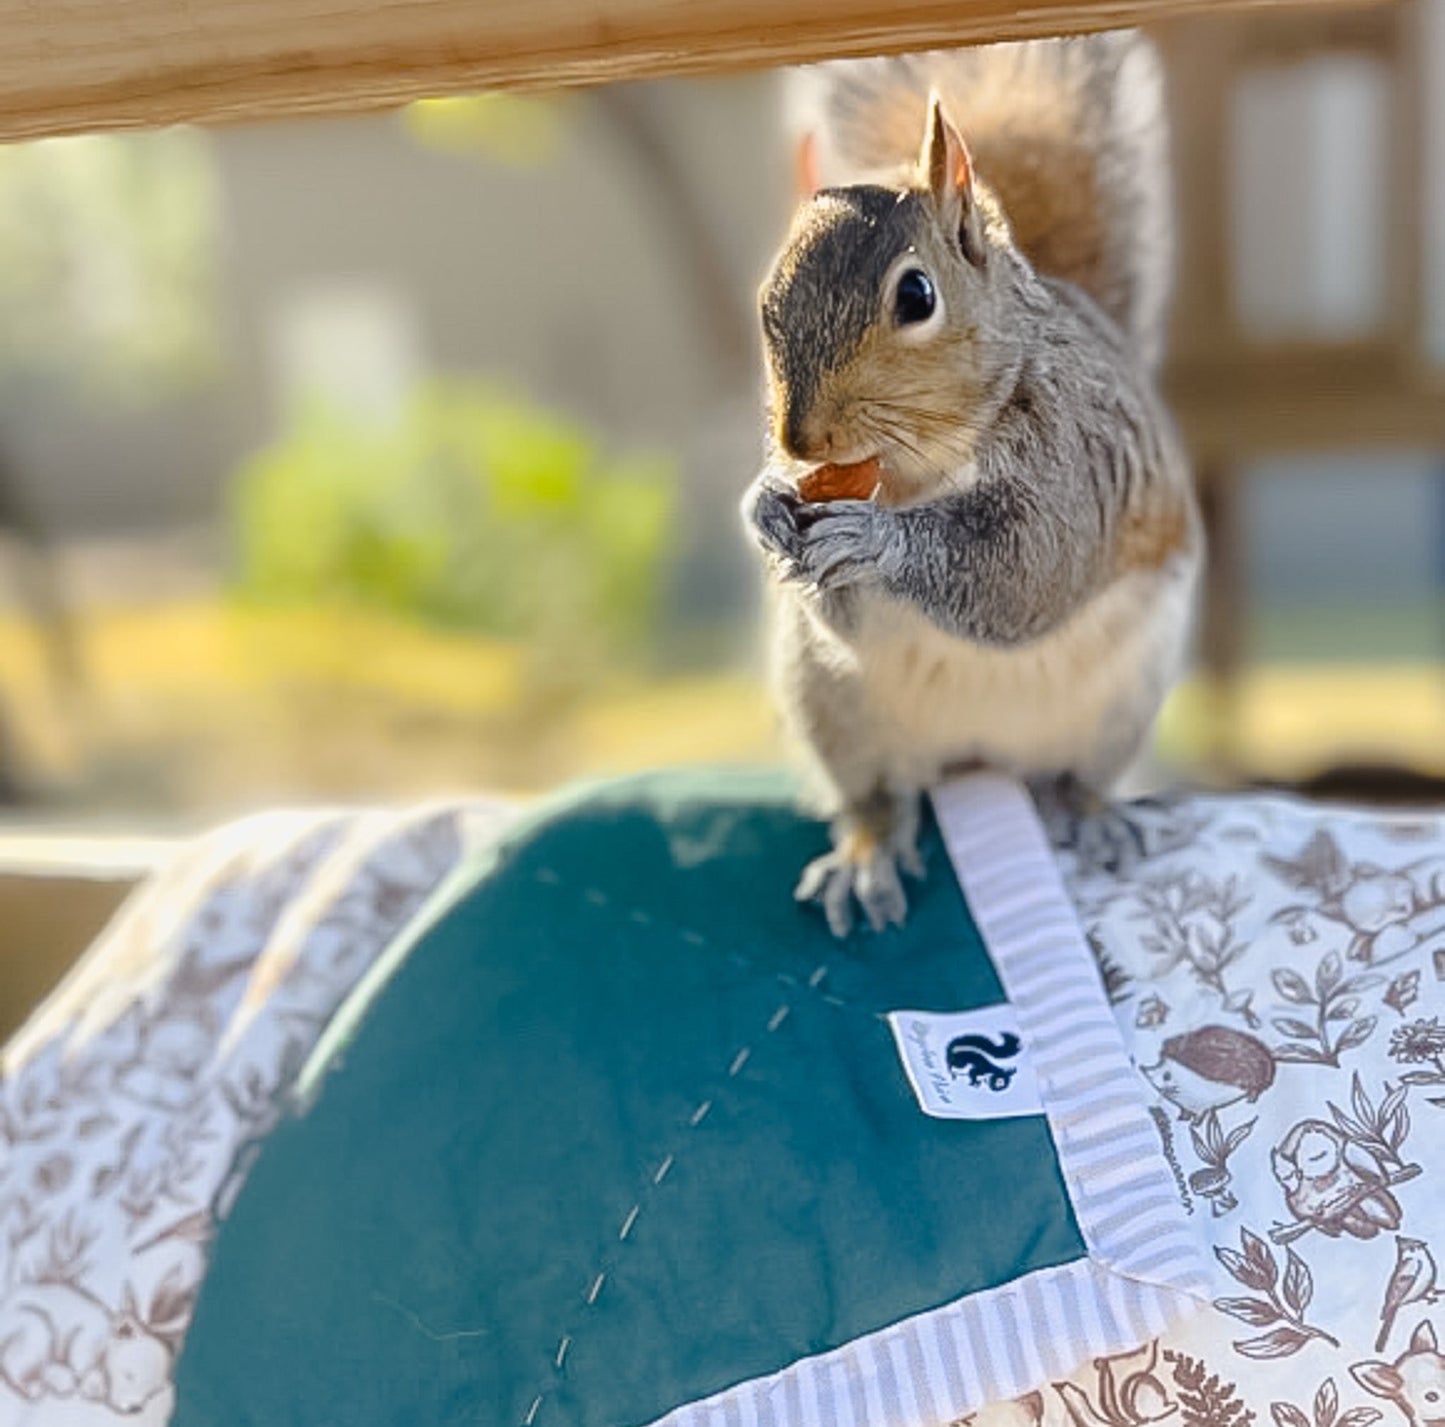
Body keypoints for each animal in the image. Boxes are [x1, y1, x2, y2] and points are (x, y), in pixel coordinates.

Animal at [740, 32, 1203, 936]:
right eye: (767, 299)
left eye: (915, 294)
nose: (798, 440)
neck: (914, 470)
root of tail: (975, 757)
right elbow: (839, 608)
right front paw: (766, 505)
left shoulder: (1073, 465)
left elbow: (1023, 573)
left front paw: (874, 540)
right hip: (836, 713)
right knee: (876, 798)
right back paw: (867, 855)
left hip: (1119, 702)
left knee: (1076, 777)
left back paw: (1092, 814)